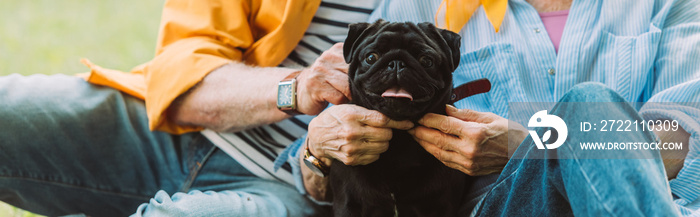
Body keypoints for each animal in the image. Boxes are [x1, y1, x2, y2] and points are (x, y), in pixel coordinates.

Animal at [330, 19, 468, 217]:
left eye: (426, 61)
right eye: (371, 57)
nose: (397, 63)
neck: (399, 139)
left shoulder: (441, 205)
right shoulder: (349, 204)